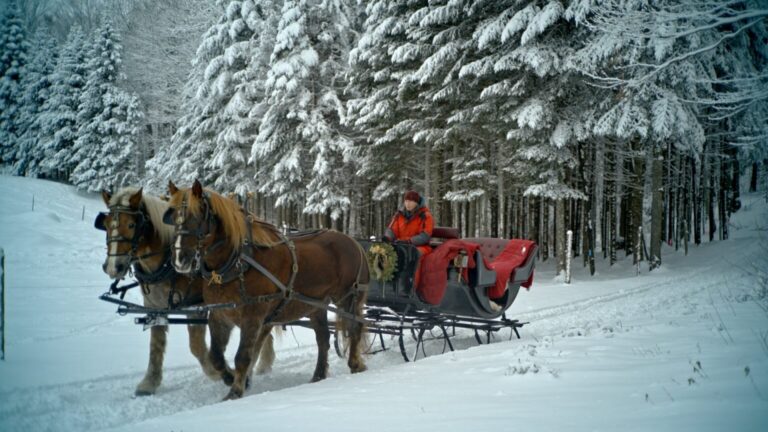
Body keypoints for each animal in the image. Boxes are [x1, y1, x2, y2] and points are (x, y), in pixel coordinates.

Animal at [95, 187, 276, 396]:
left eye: (132, 224)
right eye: (106, 225)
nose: (112, 267)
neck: (166, 263)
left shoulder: (198, 307)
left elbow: (196, 346)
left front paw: (219, 373)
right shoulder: (154, 307)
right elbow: (155, 345)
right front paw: (150, 382)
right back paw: (263, 364)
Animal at [163, 180, 369, 400]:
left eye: (197, 216)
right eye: (173, 217)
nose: (179, 260)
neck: (238, 262)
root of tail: (354, 242)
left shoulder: (253, 315)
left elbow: (243, 356)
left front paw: (235, 390)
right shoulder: (220, 315)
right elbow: (216, 356)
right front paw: (231, 378)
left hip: (348, 297)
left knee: (355, 328)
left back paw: (355, 364)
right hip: (316, 304)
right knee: (323, 339)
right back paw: (318, 375)